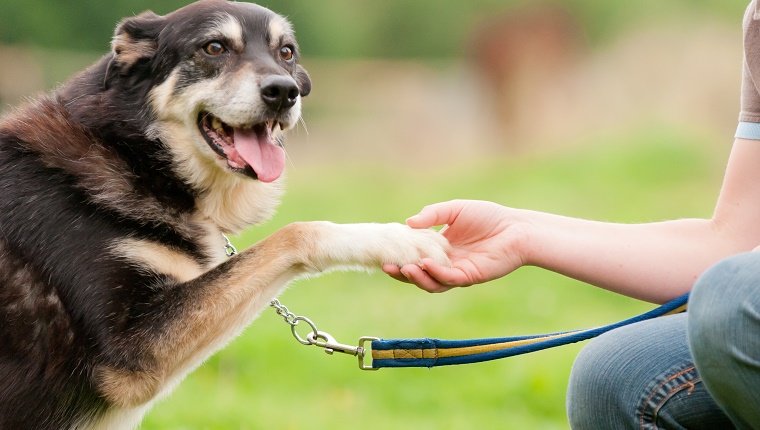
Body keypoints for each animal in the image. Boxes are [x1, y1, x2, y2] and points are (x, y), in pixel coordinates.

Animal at [0, 1, 452, 428]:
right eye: (214, 47)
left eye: (286, 52)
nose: (284, 91)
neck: (134, 155)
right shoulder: (132, 355)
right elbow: (295, 232)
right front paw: (399, 240)